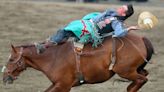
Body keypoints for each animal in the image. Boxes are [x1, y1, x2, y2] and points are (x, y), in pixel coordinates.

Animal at [2, 32, 154, 91]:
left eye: (11, 59)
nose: (4, 77)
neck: (53, 57)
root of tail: (142, 38)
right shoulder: (57, 84)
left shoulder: (63, 86)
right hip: (134, 70)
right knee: (143, 76)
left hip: (125, 71)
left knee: (142, 79)